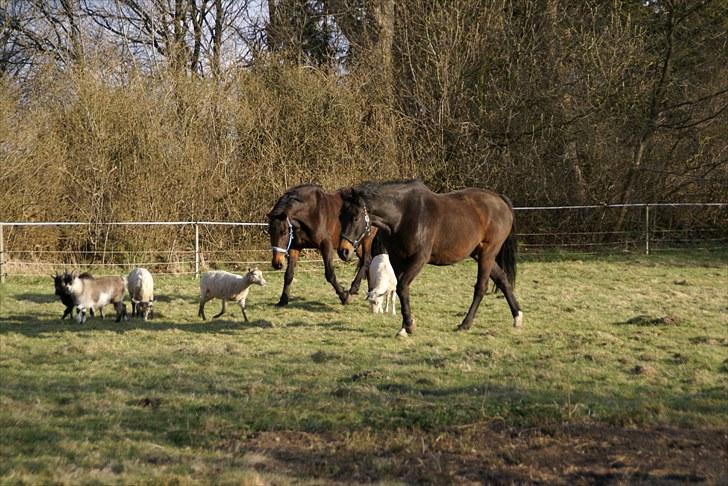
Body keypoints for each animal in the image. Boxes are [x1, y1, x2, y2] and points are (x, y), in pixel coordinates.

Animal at [338, 180, 520, 336]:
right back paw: (517, 317)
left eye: (355, 217)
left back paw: (465, 324)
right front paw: (404, 327)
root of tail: (500, 200)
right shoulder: (397, 261)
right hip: (479, 254)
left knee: (481, 287)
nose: (343, 251)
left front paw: (409, 325)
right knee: (502, 279)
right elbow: (401, 290)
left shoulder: (419, 259)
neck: (403, 215)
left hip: (487, 254)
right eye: (340, 217)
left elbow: (402, 287)